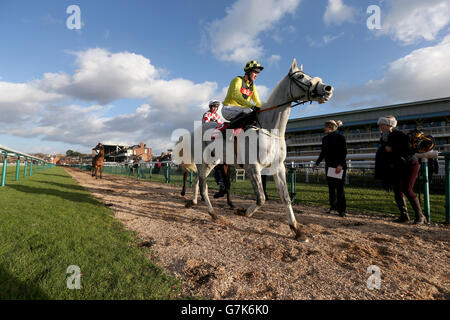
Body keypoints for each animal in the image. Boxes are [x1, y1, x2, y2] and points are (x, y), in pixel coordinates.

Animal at [177, 58, 334, 241]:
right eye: (301, 76)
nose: (328, 88)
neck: (270, 130)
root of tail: (194, 131)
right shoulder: (253, 167)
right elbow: (261, 198)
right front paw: (242, 211)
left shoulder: (278, 167)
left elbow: (286, 198)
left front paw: (297, 230)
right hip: (205, 163)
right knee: (203, 187)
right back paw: (213, 213)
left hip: (212, 163)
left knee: (197, 181)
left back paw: (192, 202)